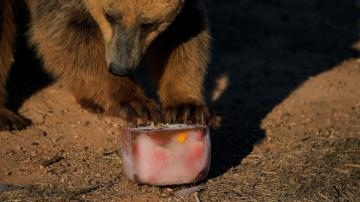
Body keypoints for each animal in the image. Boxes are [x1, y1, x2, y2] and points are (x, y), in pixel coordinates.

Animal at [0, 0, 211, 131]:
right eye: (110, 16)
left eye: (149, 24)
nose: (120, 68)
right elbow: (68, 31)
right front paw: (137, 105)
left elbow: (185, 33)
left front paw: (186, 108)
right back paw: (8, 118)